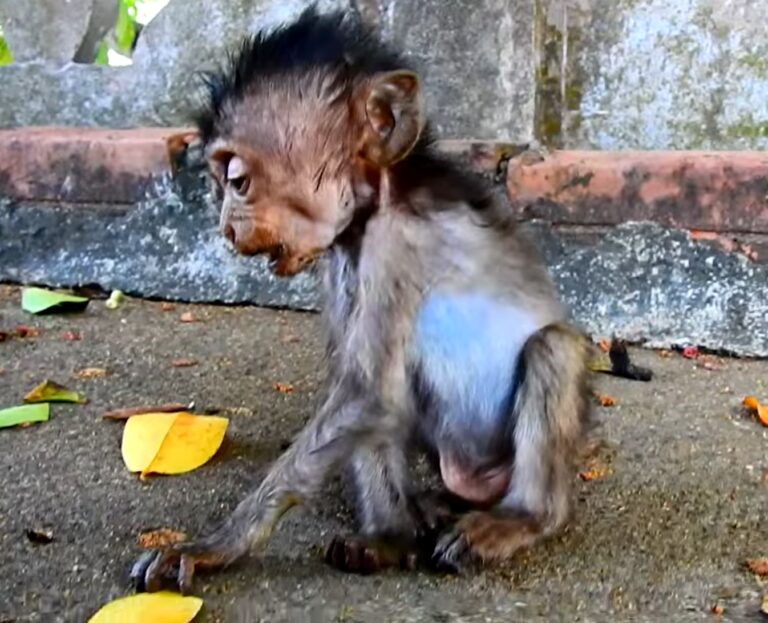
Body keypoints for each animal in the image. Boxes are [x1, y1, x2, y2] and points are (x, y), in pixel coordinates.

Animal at [130, 6, 592, 594]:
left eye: (238, 180)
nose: (227, 230)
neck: (378, 203)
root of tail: (472, 481)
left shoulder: (394, 245)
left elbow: (367, 393)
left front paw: (216, 545)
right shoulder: (339, 258)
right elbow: (360, 391)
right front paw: (389, 537)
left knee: (552, 347)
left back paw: (524, 518)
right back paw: (399, 531)